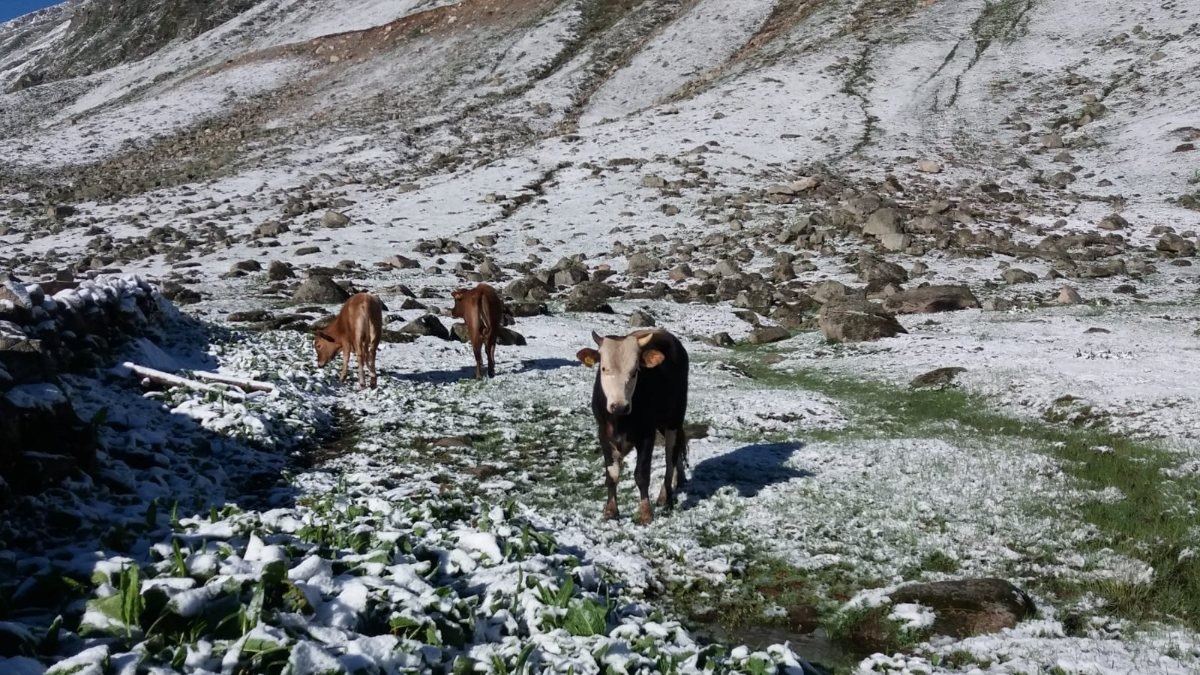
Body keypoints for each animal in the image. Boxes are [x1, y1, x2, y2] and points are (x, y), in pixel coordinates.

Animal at [576, 329, 691, 523]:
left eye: (635, 371)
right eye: (603, 368)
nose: (620, 406)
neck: (620, 421)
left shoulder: (647, 434)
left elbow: (642, 475)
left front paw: (645, 513)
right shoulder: (603, 434)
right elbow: (612, 474)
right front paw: (611, 510)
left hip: (674, 419)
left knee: (671, 456)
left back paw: (665, 496)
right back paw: (679, 479)